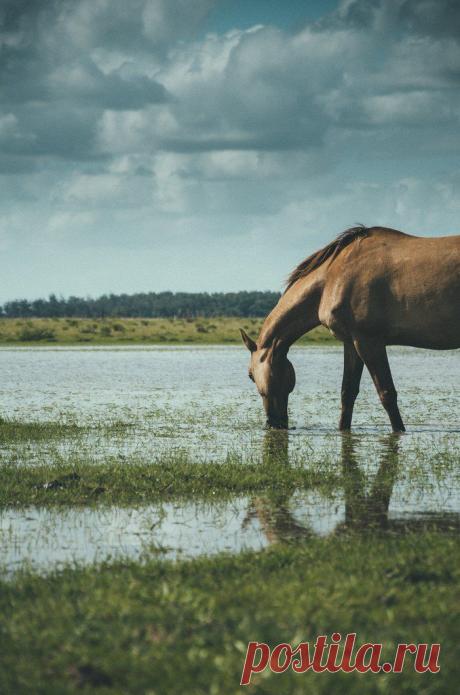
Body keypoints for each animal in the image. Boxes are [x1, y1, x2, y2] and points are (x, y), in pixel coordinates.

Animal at [241, 225, 460, 432]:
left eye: (250, 375)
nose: (273, 424)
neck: (333, 277)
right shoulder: (351, 342)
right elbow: (348, 393)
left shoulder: (369, 341)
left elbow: (387, 394)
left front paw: (399, 431)